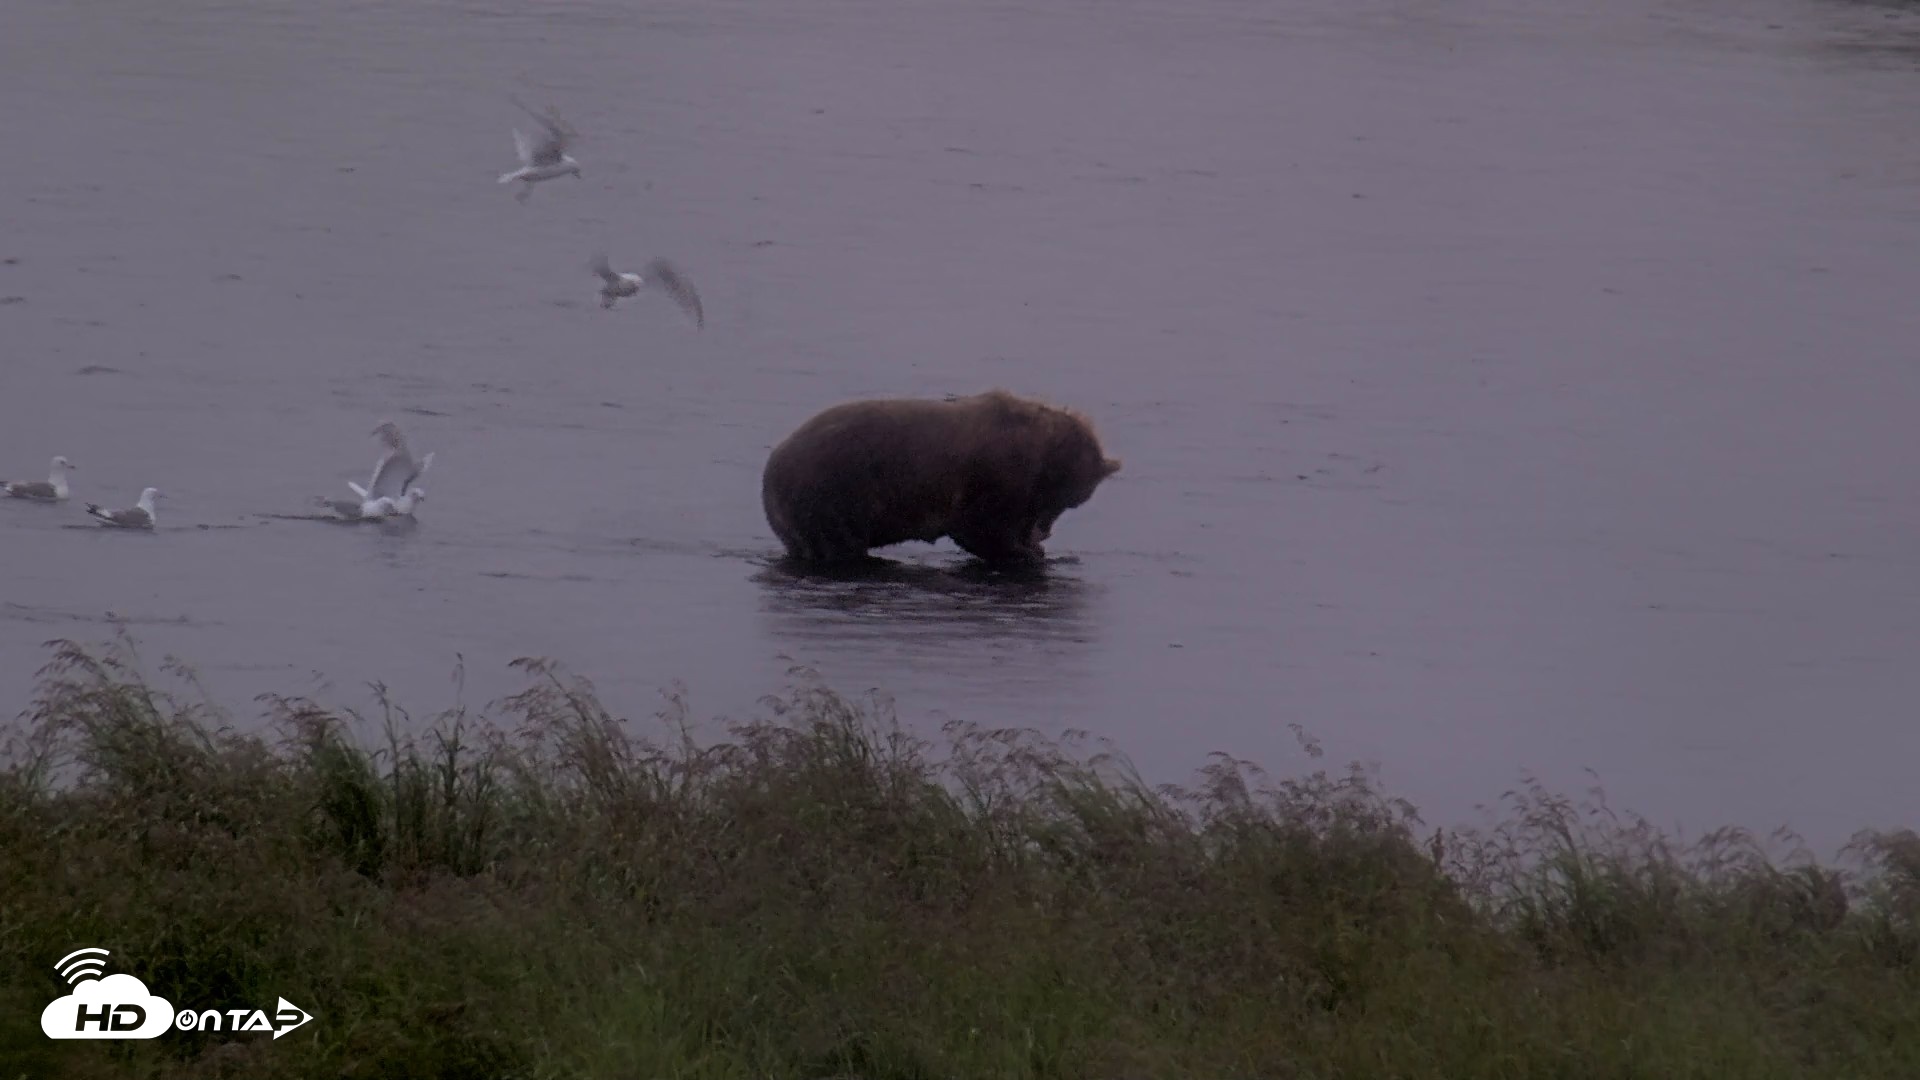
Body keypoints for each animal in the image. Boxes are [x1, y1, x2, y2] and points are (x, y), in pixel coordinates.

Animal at [761, 389, 1122, 567]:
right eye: (1067, 499)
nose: (1044, 532)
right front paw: (1025, 553)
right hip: (830, 493)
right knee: (839, 543)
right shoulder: (994, 475)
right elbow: (980, 526)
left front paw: (1032, 549)